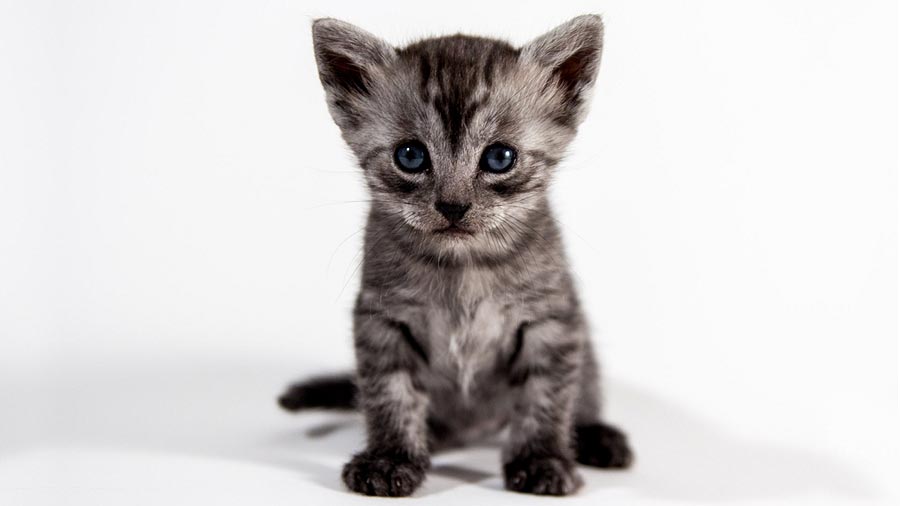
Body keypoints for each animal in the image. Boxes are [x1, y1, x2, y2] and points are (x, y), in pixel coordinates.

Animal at [280, 14, 632, 498]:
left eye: (500, 157)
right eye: (410, 155)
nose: (452, 206)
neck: (463, 266)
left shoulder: (552, 319)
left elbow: (546, 394)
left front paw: (540, 459)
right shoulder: (381, 319)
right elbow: (390, 392)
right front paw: (390, 458)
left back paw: (595, 434)